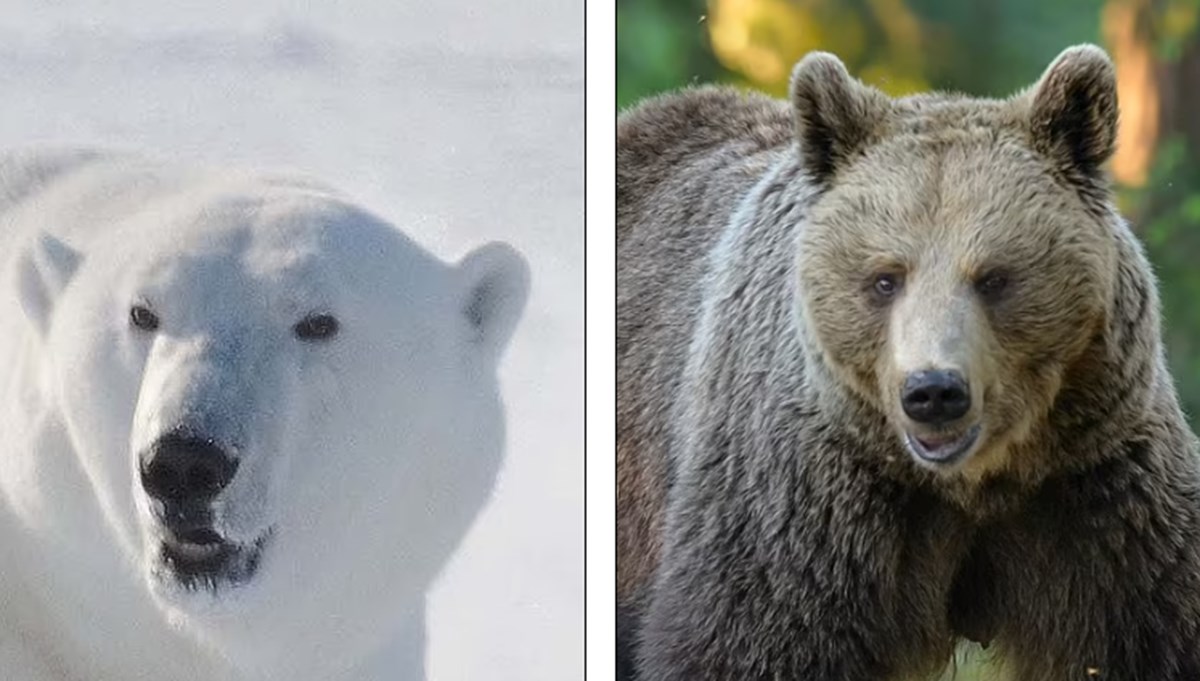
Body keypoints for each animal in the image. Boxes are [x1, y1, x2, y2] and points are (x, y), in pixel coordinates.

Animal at [619, 45, 1200, 676]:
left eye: (993, 277)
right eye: (885, 278)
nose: (934, 392)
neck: (972, 485)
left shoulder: (1100, 492)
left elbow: (1151, 630)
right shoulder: (804, 505)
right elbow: (751, 639)